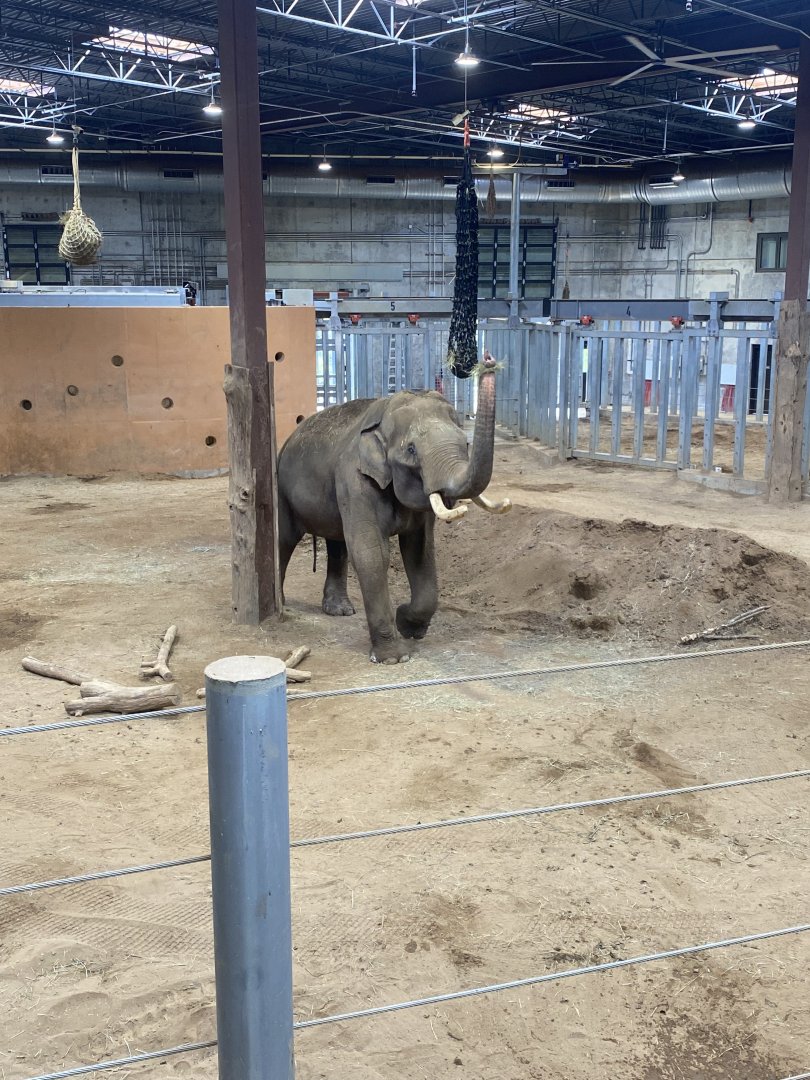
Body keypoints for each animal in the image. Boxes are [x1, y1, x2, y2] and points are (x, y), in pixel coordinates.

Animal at [276, 355, 510, 663]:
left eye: (466, 443)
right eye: (411, 449)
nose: (489, 361)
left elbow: (419, 551)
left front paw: (408, 625)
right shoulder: (355, 479)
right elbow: (372, 553)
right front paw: (393, 658)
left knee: (338, 544)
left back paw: (340, 611)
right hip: (281, 488)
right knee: (283, 540)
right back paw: (280, 606)